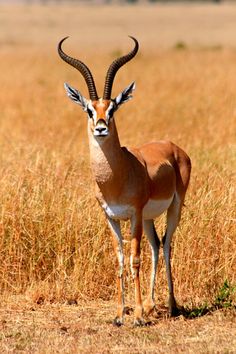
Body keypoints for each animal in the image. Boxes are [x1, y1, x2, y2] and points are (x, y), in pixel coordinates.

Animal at [58, 36, 191, 326]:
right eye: (89, 109)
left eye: (113, 108)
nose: (101, 127)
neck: (116, 178)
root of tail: (173, 147)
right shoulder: (111, 217)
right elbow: (120, 260)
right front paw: (120, 313)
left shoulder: (134, 214)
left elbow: (135, 260)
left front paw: (137, 316)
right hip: (150, 218)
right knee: (156, 245)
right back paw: (152, 305)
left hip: (173, 208)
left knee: (167, 245)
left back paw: (171, 305)